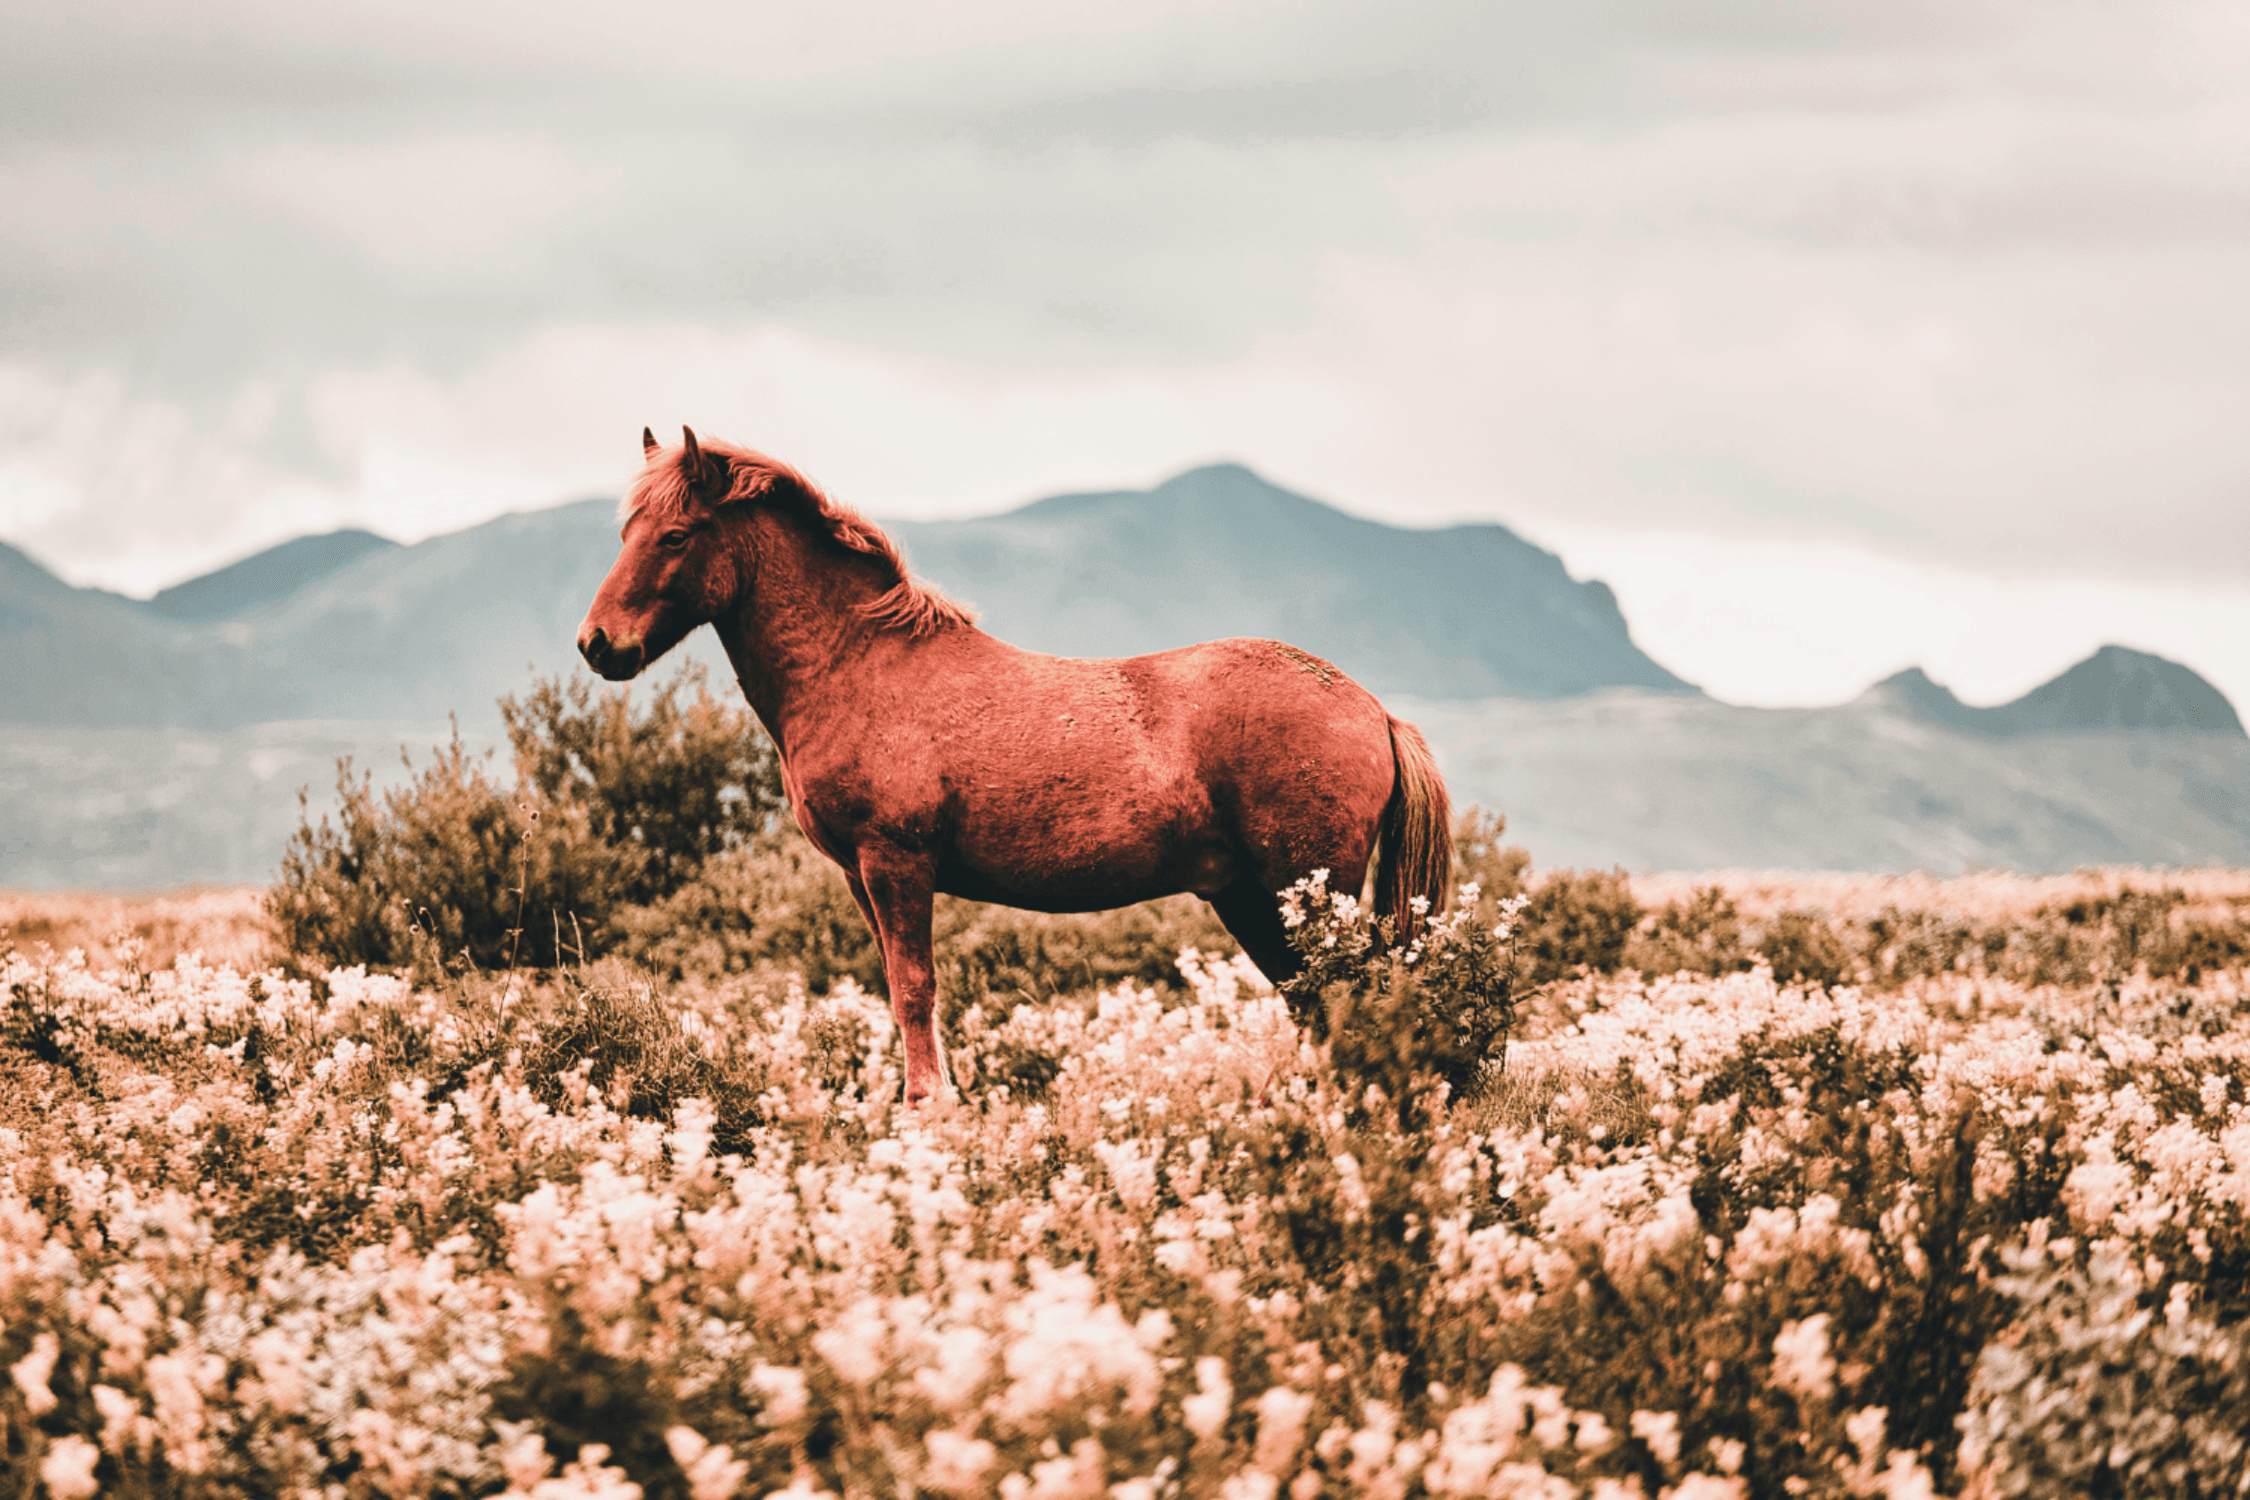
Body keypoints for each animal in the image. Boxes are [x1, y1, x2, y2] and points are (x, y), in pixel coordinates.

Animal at [578, 427, 1451, 1104]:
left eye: (675, 535)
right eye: (624, 533)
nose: (598, 645)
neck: (860, 665)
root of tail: (1372, 708)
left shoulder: (896, 863)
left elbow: (915, 989)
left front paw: (928, 1107)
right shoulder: (861, 876)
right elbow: (898, 985)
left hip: (1305, 891)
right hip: (1250, 896)